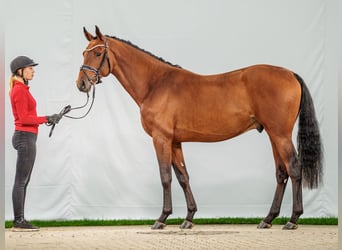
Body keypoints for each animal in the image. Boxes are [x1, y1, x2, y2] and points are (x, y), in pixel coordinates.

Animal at [75, 25, 324, 230]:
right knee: (281, 173)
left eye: (98, 53)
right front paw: (188, 218)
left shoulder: (161, 138)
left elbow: (165, 176)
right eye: (84, 52)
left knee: (294, 168)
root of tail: (290, 74)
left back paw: (293, 219)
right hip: (273, 135)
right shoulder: (175, 141)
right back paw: (268, 219)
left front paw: (161, 219)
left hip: (280, 135)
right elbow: (183, 176)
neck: (156, 84)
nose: (81, 84)